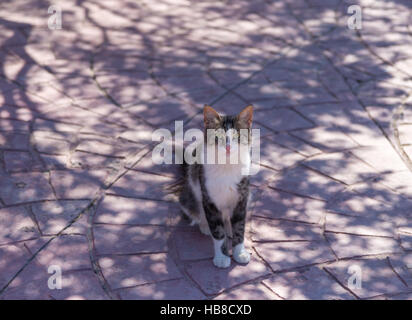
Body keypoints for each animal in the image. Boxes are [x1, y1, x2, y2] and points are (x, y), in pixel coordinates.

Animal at [173, 105, 251, 268]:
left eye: (237, 137)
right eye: (218, 136)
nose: (228, 148)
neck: (227, 166)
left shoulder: (242, 198)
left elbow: (240, 227)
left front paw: (239, 252)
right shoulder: (209, 200)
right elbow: (217, 231)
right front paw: (221, 257)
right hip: (190, 198)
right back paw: (205, 226)